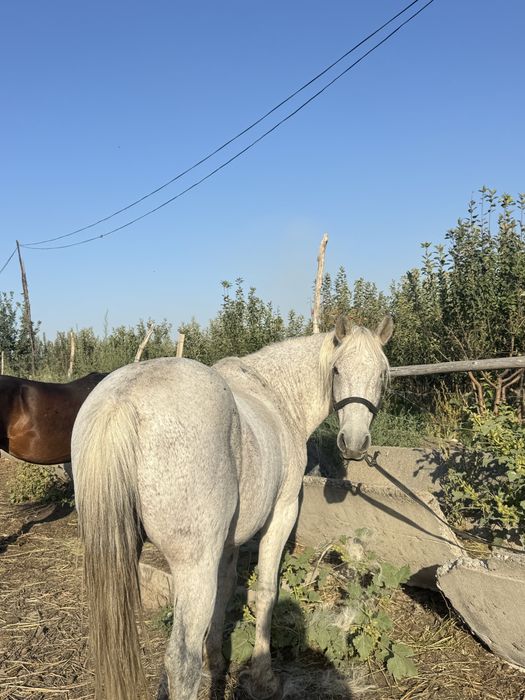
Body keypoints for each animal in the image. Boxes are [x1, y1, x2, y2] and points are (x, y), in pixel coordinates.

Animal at [72, 315, 393, 700]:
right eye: (337, 370)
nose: (355, 444)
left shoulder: (226, 543)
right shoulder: (281, 513)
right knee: (181, 662)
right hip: (192, 565)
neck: (276, 396)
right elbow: (267, 592)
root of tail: (122, 400)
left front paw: (217, 659)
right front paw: (263, 676)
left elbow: (224, 594)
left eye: (382, 374)